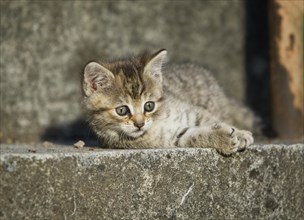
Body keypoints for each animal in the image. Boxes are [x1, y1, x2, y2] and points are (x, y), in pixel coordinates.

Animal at [81, 48, 254, 155]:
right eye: (122, 110)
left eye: (149, 106)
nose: (139, 124)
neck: (158, 120)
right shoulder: (169, 139)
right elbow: (192, 135)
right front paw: (224, 138)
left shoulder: (190, 110)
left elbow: (209, 119)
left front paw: (241, 134)